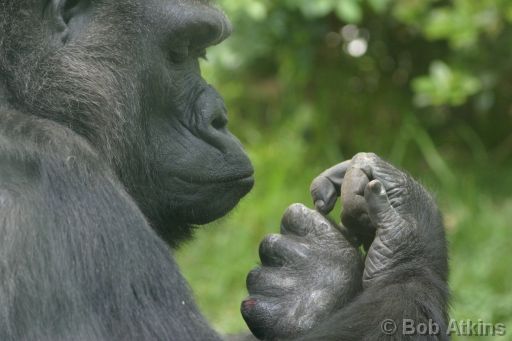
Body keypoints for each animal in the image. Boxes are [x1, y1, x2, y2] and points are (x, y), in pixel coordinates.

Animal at [0, 0, 448, 340]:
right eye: (180, 52)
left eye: (198, 52)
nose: (220, 117)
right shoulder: (61, 175)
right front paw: (408, 242)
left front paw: (312, 293)